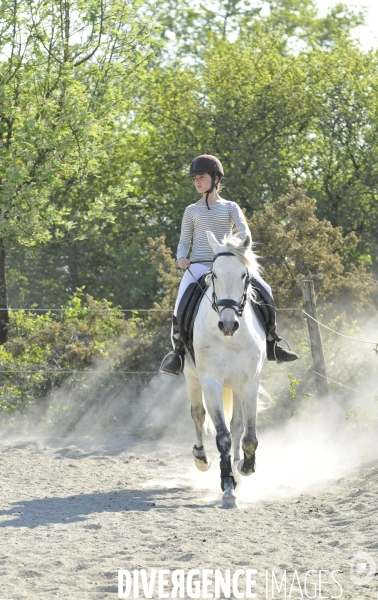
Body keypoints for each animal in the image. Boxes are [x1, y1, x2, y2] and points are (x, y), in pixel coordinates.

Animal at [184, 230, 266, 506]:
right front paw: (228, 487)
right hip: (191, 377)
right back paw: (201, 459)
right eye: (215, 275)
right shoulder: (211, 382)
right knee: (198, 414)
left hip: (238, 385)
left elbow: (248, 436)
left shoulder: (249, 383)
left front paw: (245, 468)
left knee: (238, 425)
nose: (228, 325)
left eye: (244, 275)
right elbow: (222, 437)